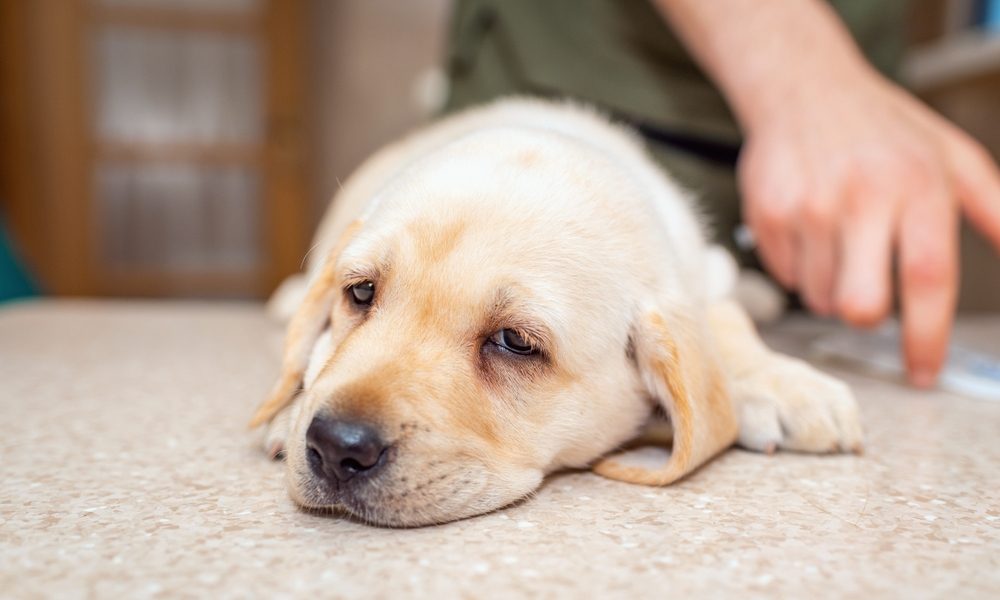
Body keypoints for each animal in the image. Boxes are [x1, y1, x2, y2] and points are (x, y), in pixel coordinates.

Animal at [254, 97, 864, 524]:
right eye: (360, 293)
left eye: (515, 343)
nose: (337, 448)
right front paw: (290, 412)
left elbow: (723, 320)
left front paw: (786, 384)